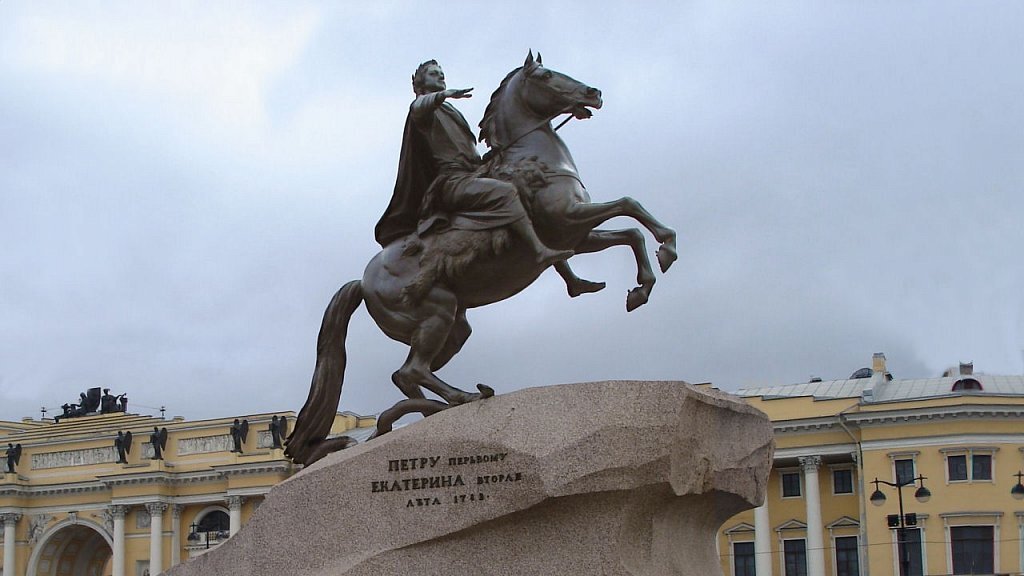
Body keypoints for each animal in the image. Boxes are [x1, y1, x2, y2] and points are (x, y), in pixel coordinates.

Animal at [284, 52, 675, 467]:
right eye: (545, 76)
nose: (593, 93)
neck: (531, 159)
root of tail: (362, 280)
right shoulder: (570, 218)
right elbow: (629, 206)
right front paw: (667, 248)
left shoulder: (578, 235)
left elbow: (630, 232)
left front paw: (641, 286)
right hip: (437, 313)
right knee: (412, 369)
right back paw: (463, 397)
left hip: (454, 327)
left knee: (406, 376)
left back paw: (427, 411)